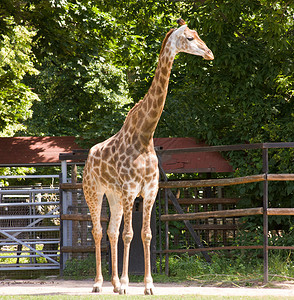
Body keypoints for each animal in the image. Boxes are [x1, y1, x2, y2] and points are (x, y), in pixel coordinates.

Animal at [82, 18, 214, 296]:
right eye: (189, 38)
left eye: (197, 34)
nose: (209, 53)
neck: (144, 135)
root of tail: (88, 157)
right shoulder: (131, 190)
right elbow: (129, 234)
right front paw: (125, 284)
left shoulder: (150, 190)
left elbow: (146, 235)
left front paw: (148, 285)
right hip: (94, 191)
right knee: (98, 231)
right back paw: (99, 283)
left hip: (113, 195)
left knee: (110, 231)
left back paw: (111, 283)